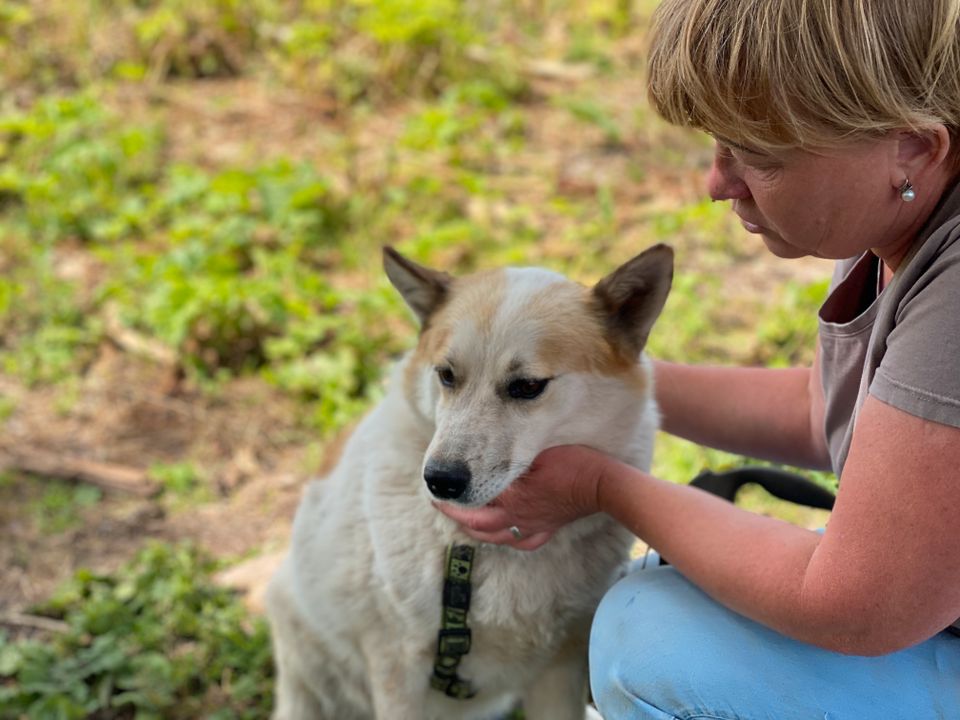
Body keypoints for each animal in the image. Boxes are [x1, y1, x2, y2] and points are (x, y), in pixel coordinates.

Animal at [266, 245, 672, 716]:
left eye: (527, 386)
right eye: (446, 375)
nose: (440, 481)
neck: (472, 550)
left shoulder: (559, 668)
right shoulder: (397, 668)